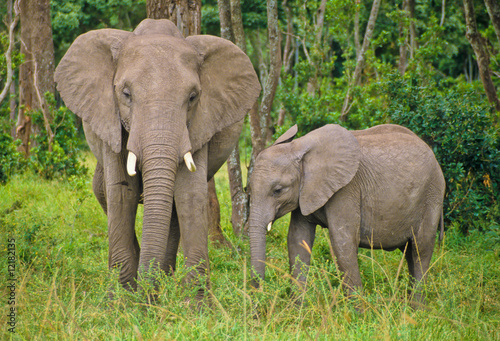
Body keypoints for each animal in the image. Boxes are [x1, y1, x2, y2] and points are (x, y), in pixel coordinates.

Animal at [55, 19, 262, 298]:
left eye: (193, 97)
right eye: (126, 94)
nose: (146, 295)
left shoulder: (199, 123)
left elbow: (189, 195)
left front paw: (194, 303)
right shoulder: (110, 118)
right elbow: (122, 194)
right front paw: (120, 302)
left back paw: (162, 282)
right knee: (104, 194)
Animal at [249, 123, 446, 304]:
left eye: (278, 190)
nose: (257, 306)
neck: (299, 146)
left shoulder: (346, 189)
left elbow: (342, 242)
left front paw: (358, 314)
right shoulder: (304, 193)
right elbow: (297, 241)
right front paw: (297, 310)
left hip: (432, 195)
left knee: (421, 250)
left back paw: (416, 311)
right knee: (411, 253)